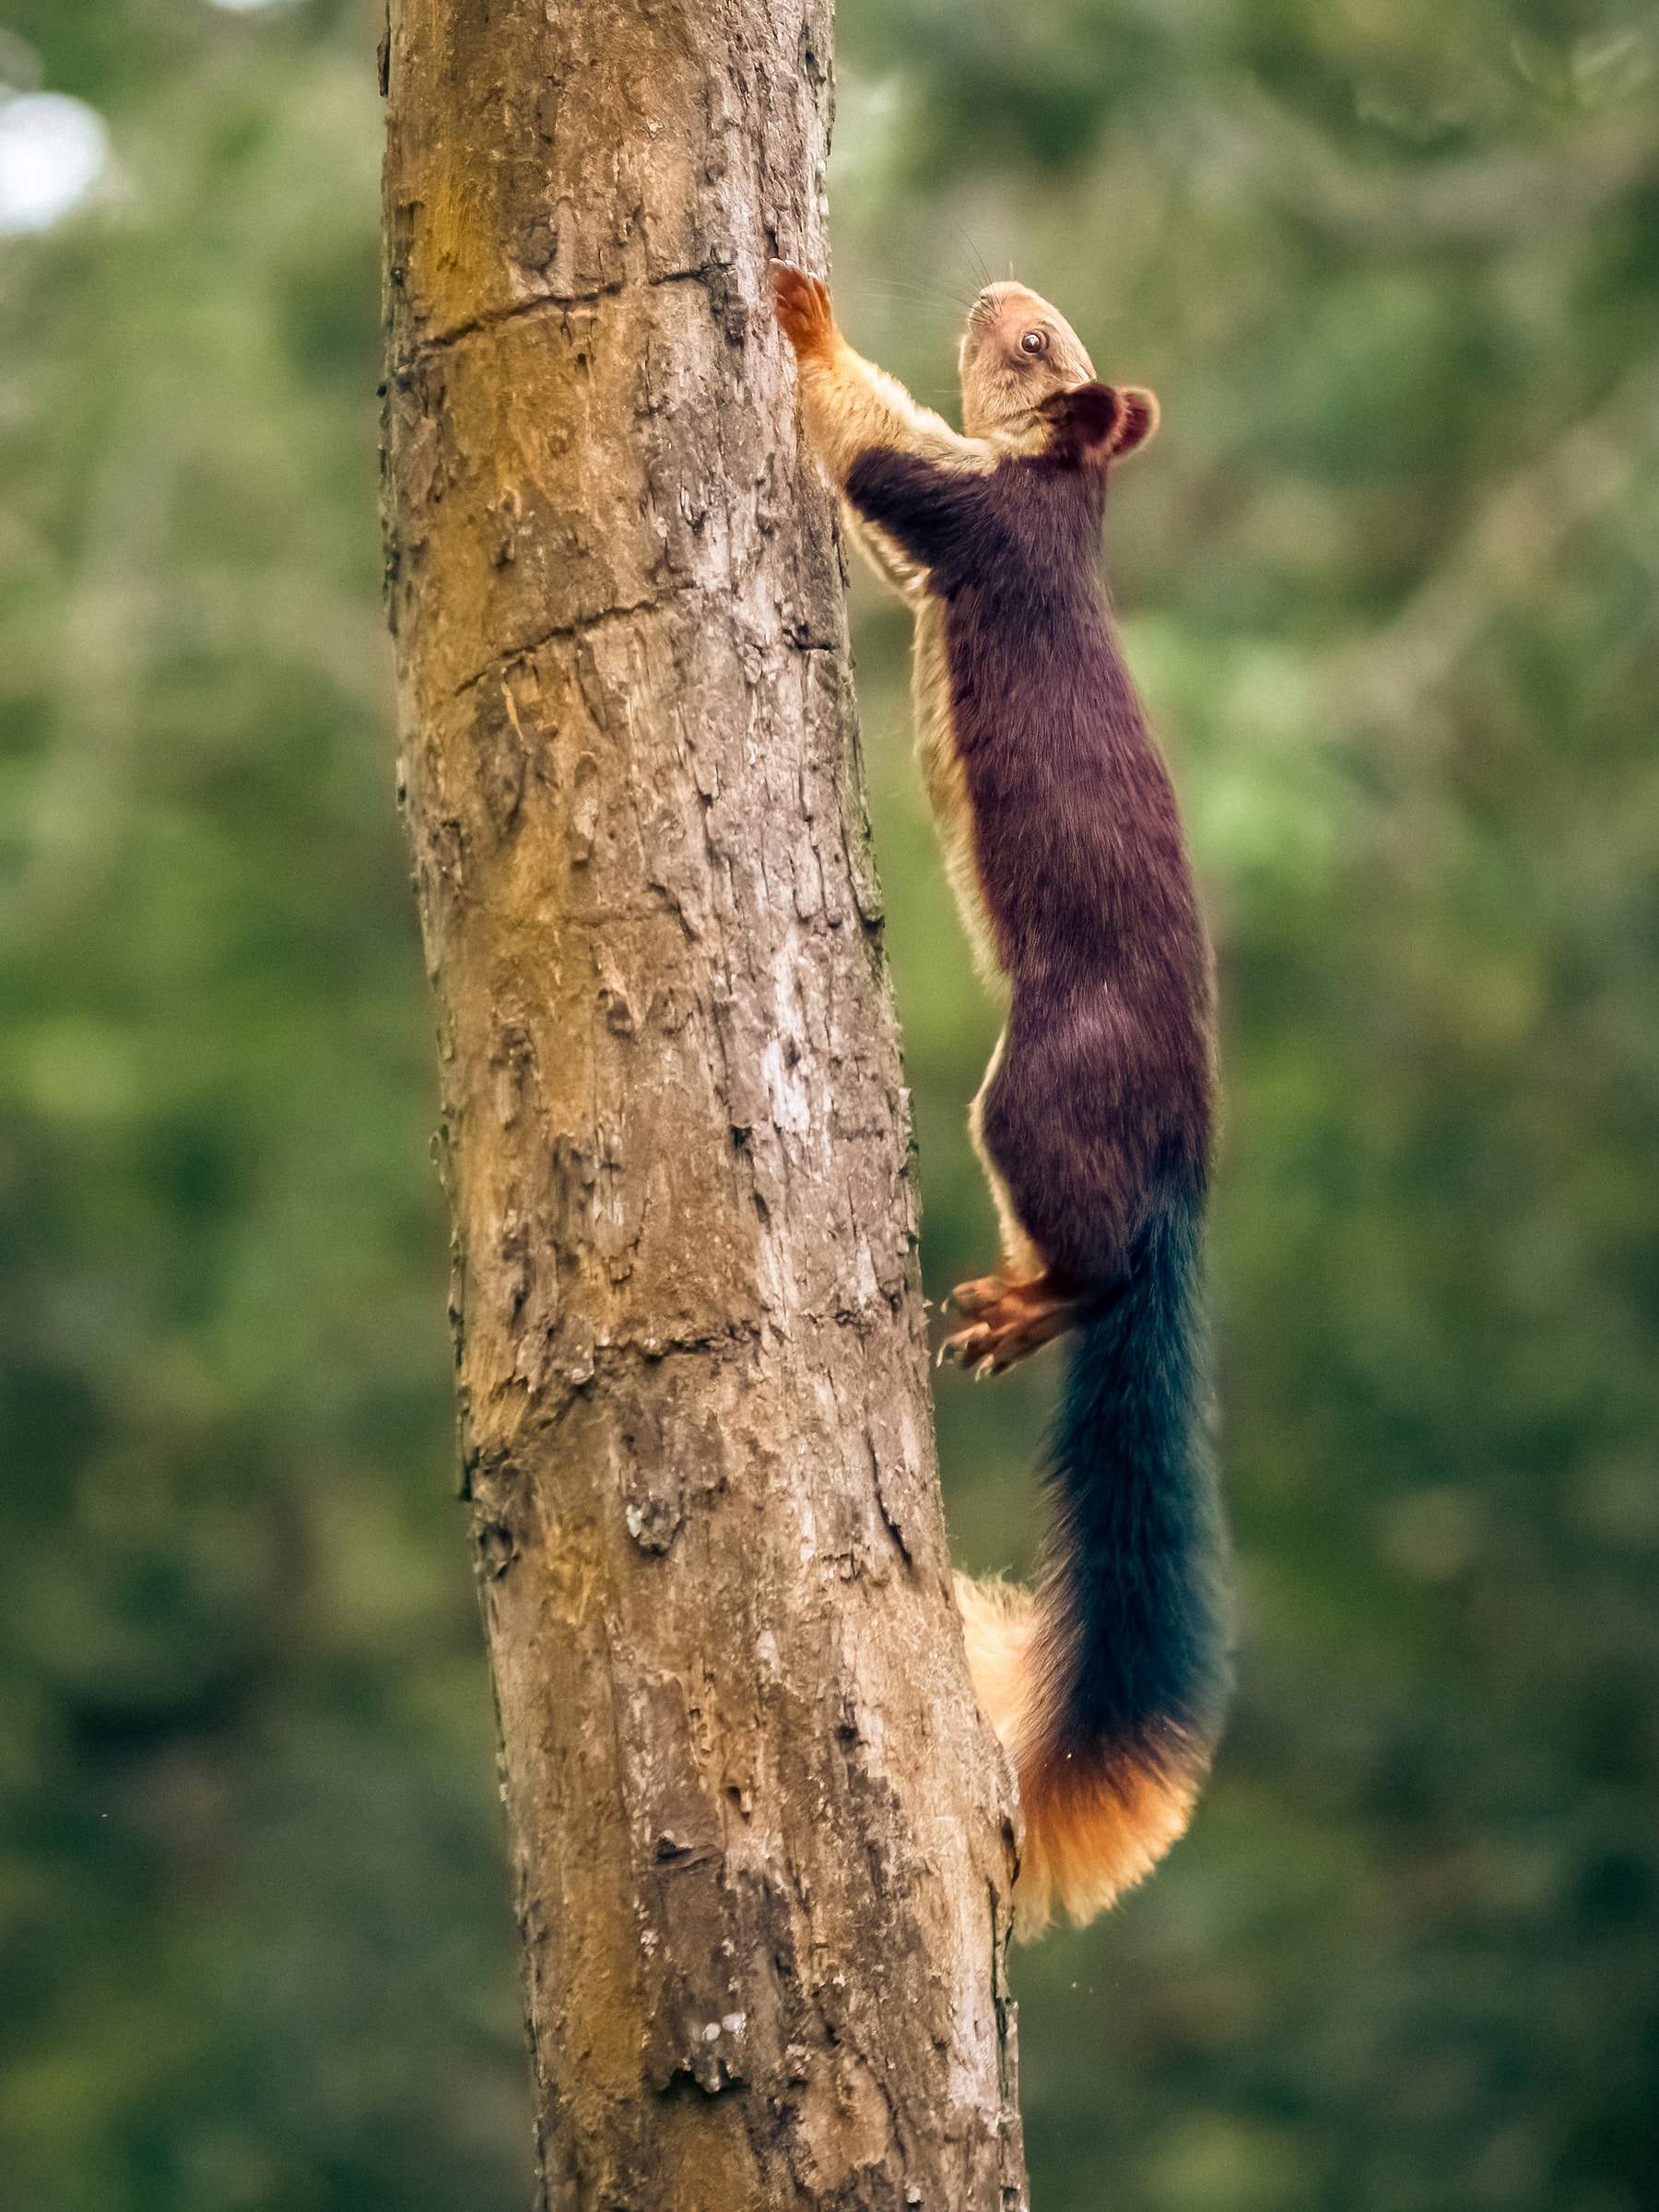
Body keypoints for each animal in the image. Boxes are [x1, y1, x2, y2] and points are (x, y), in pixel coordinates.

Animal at [771, 260, 1232, 1935]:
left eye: (1035, 347)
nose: (995, 287)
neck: (1067, 490)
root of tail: (1181, 1174)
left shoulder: (968, 511)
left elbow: (872, 443)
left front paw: (805, 310)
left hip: (1032, 1091)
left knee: (1094, 1269)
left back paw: (1029, 1306)